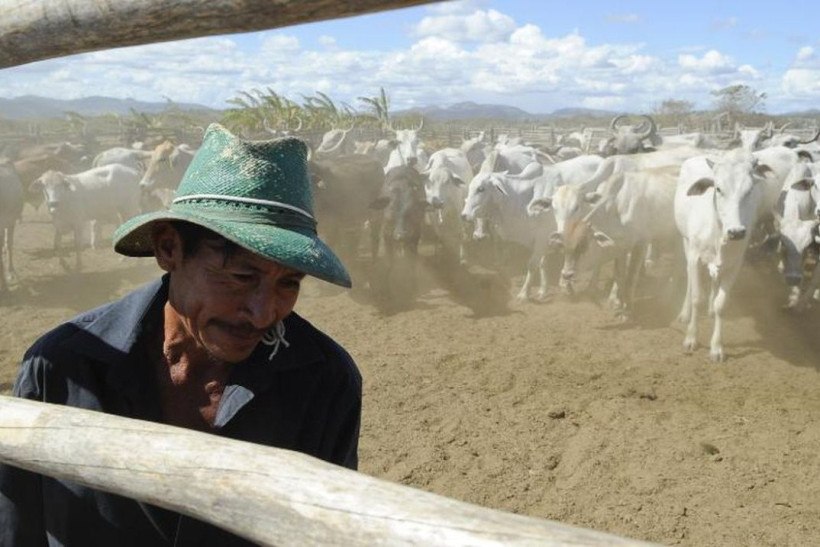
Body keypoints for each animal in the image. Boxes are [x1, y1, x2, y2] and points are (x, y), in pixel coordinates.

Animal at [672, 152, 776, 362]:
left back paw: (711, 309)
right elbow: (697, 297)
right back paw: (685, 313)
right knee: (689, 280)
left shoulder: (734, 265)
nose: (736, 232)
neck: (717, 232)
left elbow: (722, 304)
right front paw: (691, 338)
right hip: (686, 242)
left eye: (749, 189)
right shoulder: (695, 257)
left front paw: (717, 348)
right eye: (718, 189)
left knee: (714, 281)